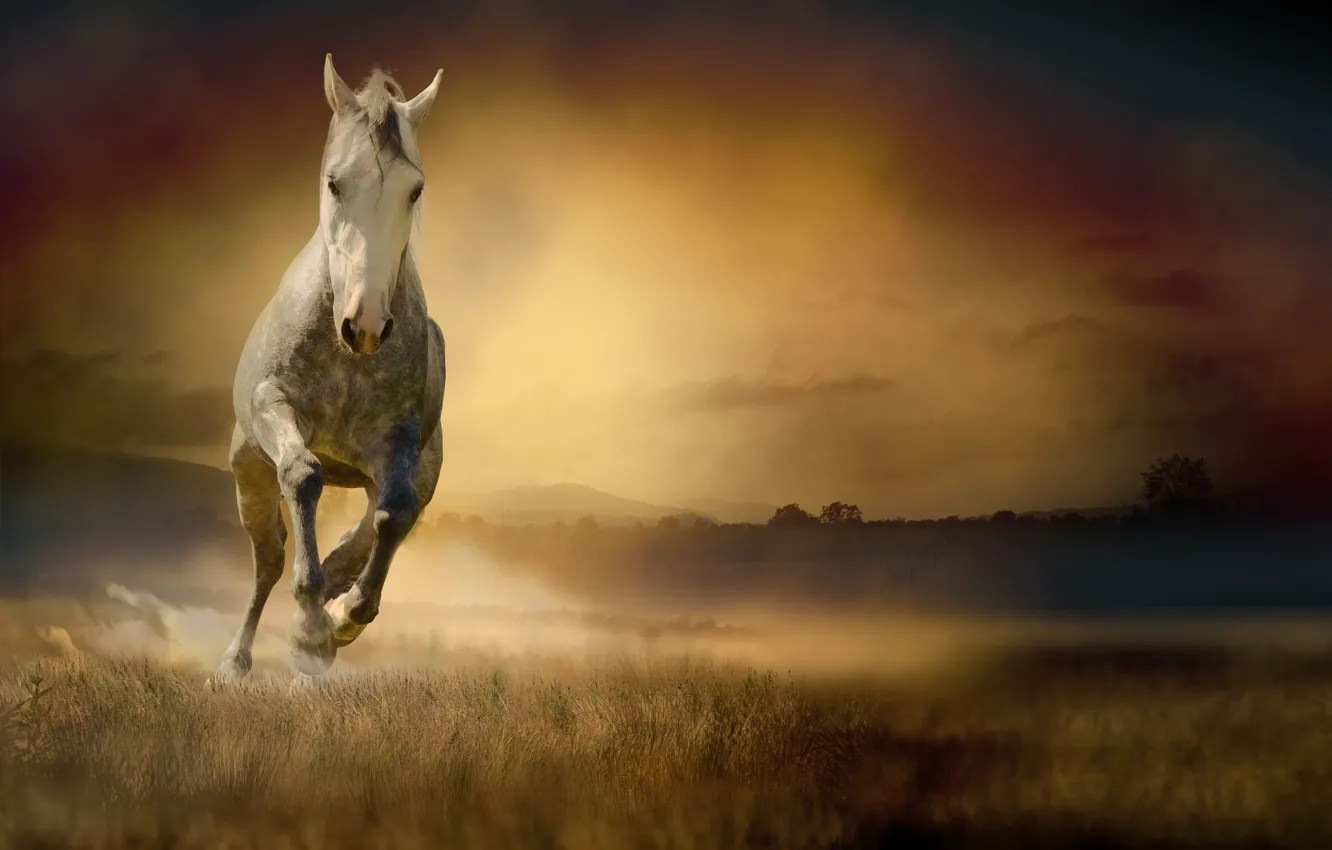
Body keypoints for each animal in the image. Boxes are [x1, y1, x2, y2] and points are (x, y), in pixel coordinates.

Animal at [211, 55, 447, 683]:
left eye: (415, 189)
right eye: (335, 183)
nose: (364, 325)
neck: (347, 361)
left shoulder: (399, 443)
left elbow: (395, 513)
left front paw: (341, 619)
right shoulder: (277, 409)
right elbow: (304, 476)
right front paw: (311, 629)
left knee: (370, 531)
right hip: (249, 474)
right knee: (268, 562)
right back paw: (235, 663)